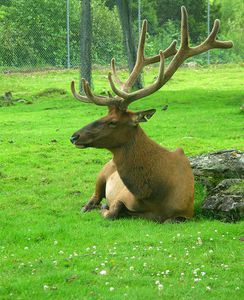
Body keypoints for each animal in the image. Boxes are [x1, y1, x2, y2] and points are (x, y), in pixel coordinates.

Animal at [70, 7, 233, 223]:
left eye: (112, 121)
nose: (74, 136)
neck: (155, 193)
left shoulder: (186, 213)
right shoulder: (122, 195)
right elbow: (114, 210)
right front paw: (105, 208)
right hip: (102, 171)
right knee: (94, 196)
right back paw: (88, 206)